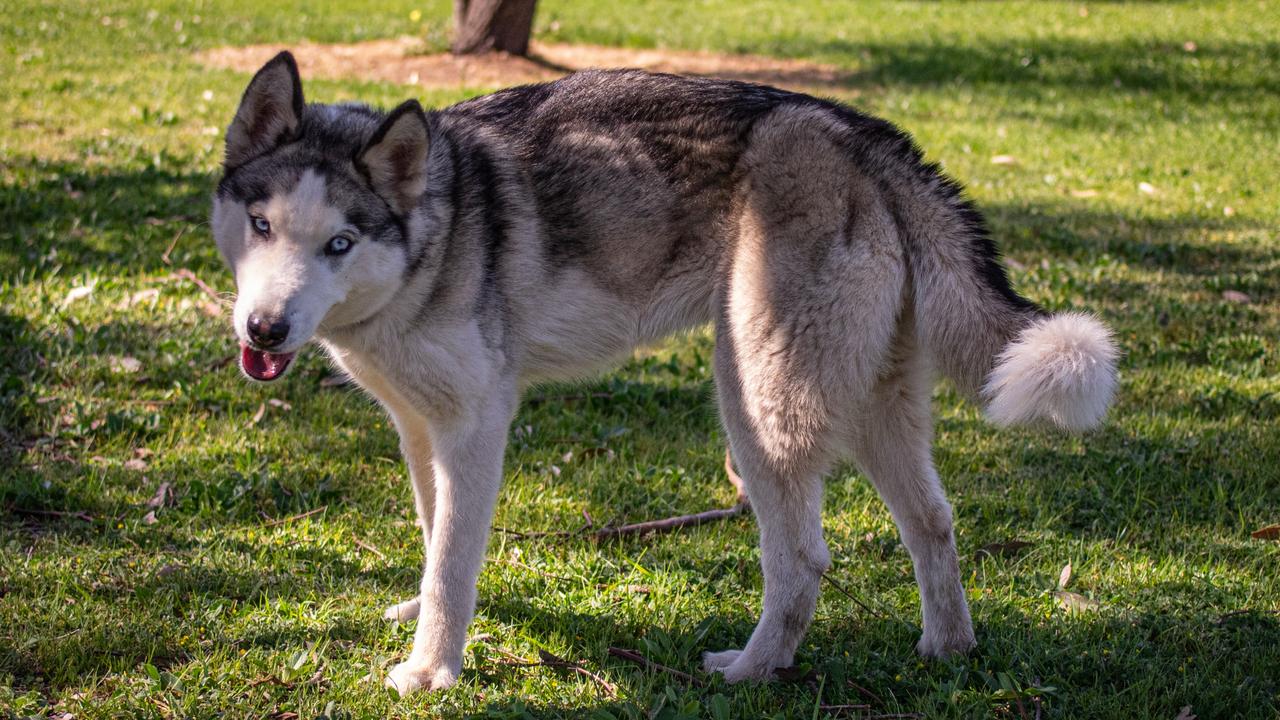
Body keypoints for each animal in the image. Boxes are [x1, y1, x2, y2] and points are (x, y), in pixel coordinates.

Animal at [215, 53, 1116, 691]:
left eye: (339, 243)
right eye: (261, 225)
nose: (266, 328)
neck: (438, 230)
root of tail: (864, 136)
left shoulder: (477, 426)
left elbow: (454, 563)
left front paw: (431, 670)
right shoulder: (420, 429)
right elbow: (440, 541)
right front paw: (426, 618)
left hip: (755, 405)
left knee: (804, 562)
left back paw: (751, 669)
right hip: (870, 407)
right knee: (933, 522)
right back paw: (946, 650)